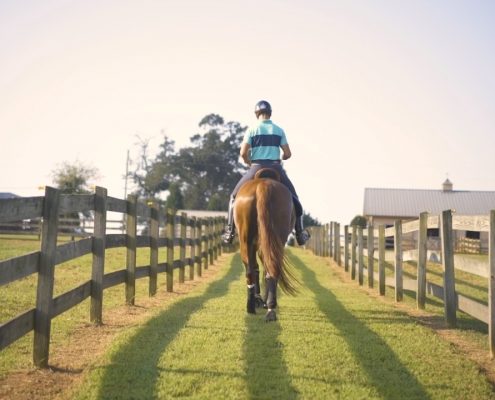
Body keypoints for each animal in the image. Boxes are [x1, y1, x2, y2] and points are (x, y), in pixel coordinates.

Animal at [235, 168, 300, 322]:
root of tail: (263, 185)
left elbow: (256, 268)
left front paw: (259, 299)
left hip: (246, 241)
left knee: (252, 270)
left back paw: (253, 306)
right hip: (273, 241)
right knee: (270, 268)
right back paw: (269, 308)